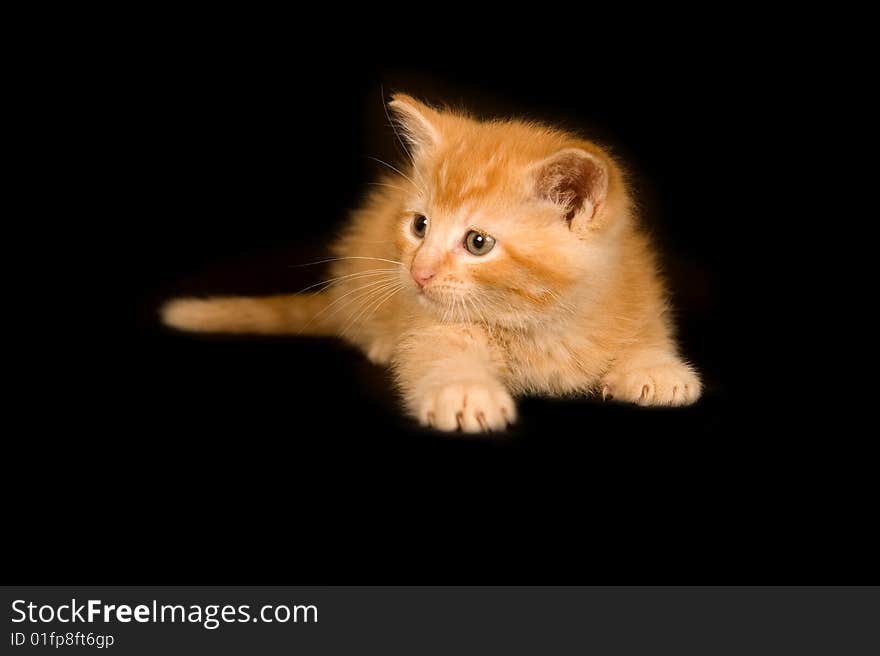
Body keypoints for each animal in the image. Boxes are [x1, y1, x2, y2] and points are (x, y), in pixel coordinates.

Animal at [163, 92, 700, 430]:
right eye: (420, 226)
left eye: (478, 243)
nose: (418, 271)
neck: (540, 322)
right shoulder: (431, 327)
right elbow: (437, 356)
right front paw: (464, 392)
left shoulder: (633, 284)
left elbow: (647, 332)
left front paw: (656, 367)